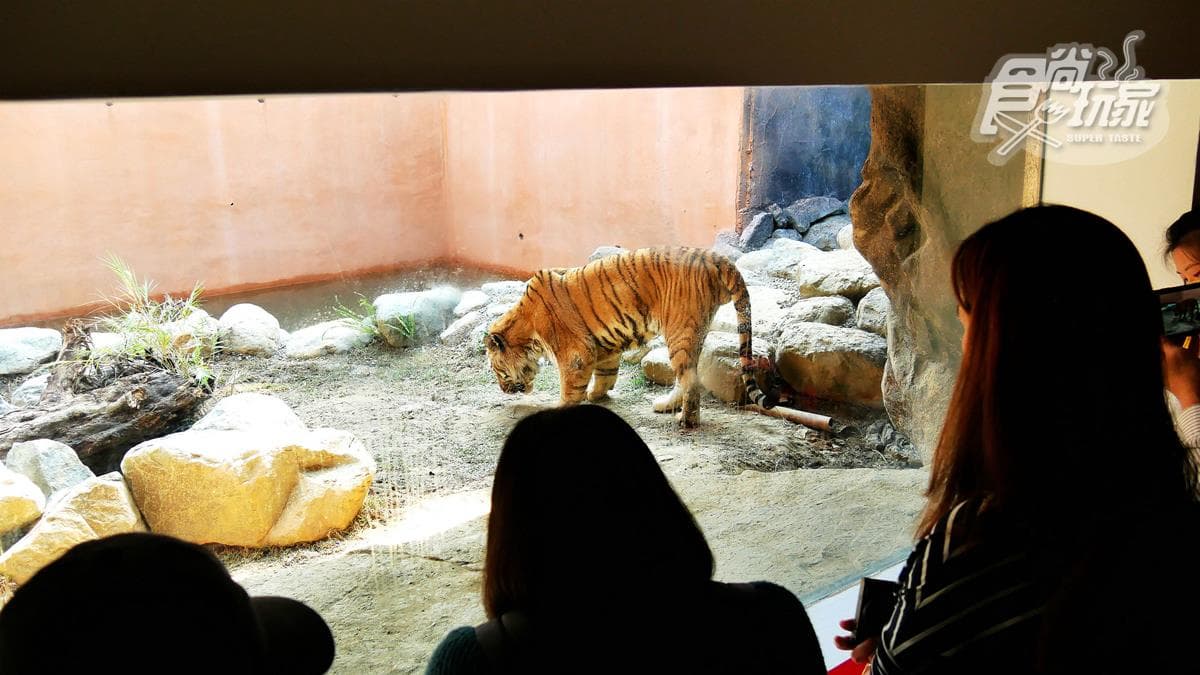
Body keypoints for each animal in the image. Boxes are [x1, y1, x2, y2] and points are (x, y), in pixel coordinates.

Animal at [483, 246, 776, 427]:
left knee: (691, 382)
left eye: (498, 370)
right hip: (692, 334)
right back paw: (666, 406)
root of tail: (715, 256)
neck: (526, 326)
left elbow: (570, 388)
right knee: (684, 378)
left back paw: (687, 421)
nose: (503, 389)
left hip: (680, 332)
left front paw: (561, 407)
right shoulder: (603, 349)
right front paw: (596, 395)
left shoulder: (575, 355)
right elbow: (605, 374)